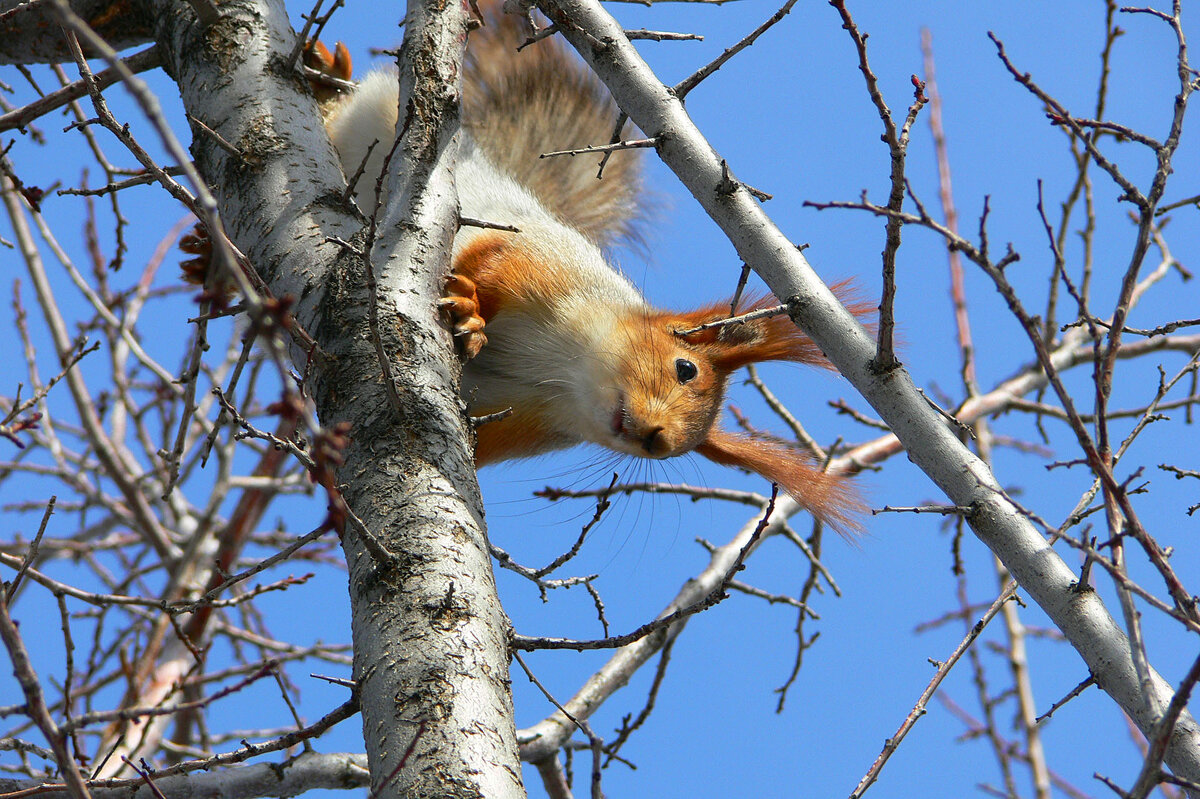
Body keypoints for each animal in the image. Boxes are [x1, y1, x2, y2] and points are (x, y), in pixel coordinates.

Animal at [304, 10, 868, 527]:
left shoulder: (515, 421)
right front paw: (469, 311)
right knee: (338, 111)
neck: (564, 369)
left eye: (684, 450)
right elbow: (491, 260)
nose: (656, 438)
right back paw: (323, 78)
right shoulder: (543, 260)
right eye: (685, 368)